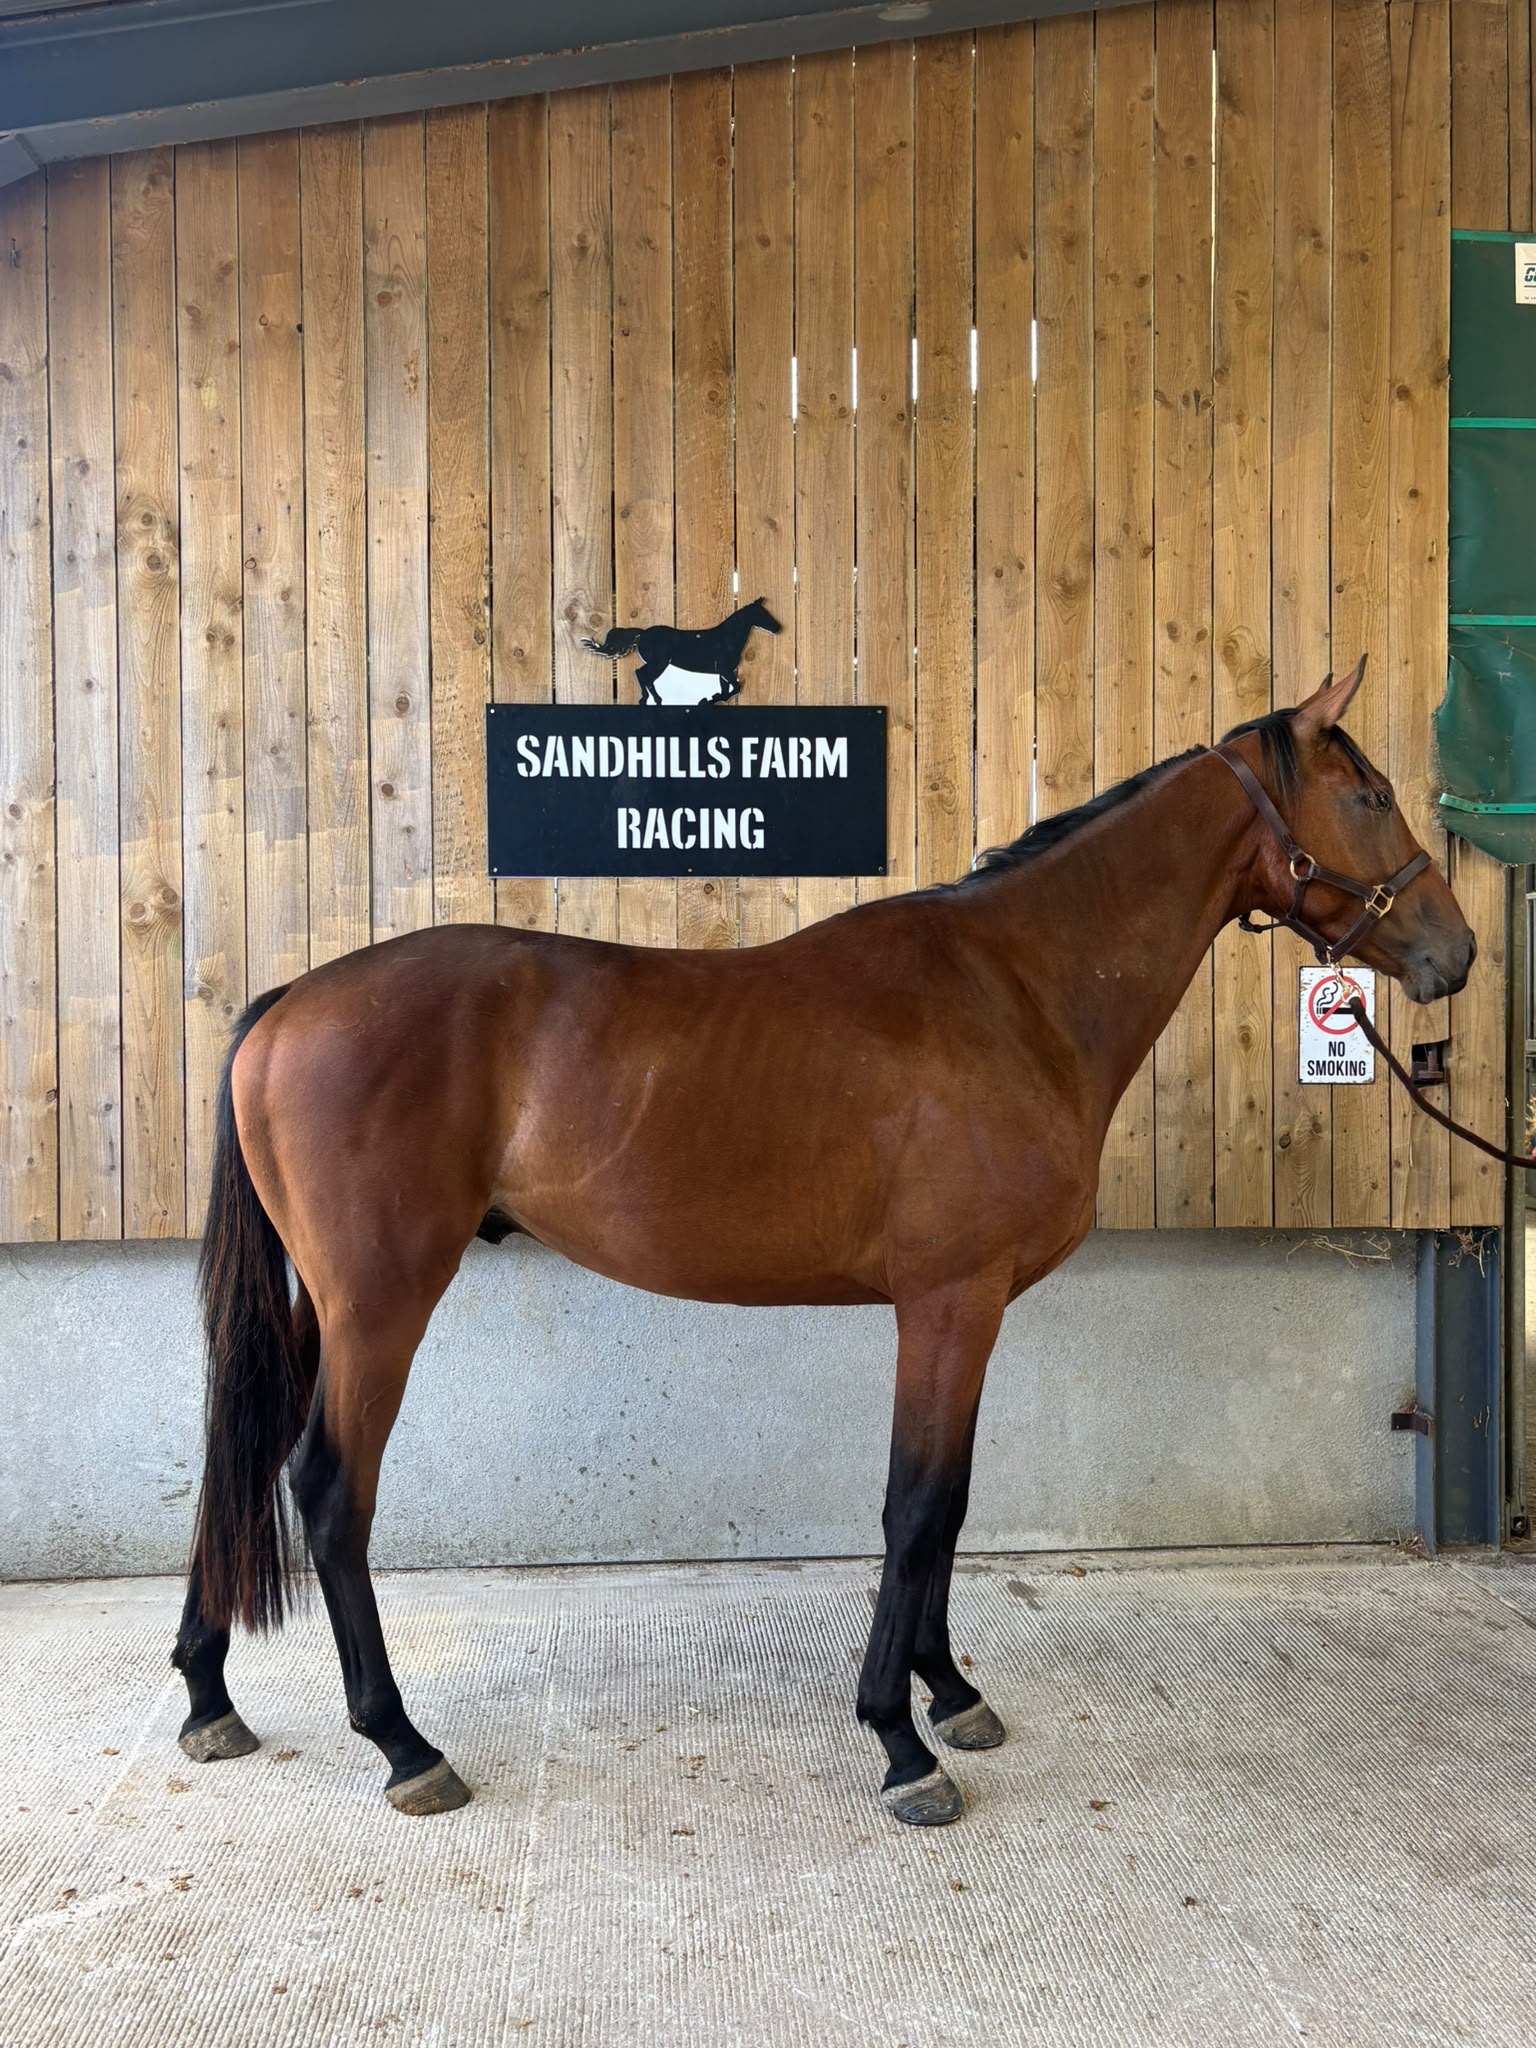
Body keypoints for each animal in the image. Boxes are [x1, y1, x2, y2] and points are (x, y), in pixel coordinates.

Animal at [172, 660, 1474, 1826]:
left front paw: (950, 1692)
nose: (1453, 953)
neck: (1015, 990)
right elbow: (915, 1504)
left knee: (244, 1452)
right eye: (1370, 796)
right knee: (327, 1486)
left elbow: (951, 1502)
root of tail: (288, 1003)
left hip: (323, 1303)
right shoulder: (949, 1299)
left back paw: (208, 1693)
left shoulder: (972, 1308)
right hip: (380, 1304)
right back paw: (405, 1744)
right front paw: (902, 1743)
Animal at [582, 597, 782, 703]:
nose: (778, 628)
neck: (727, 639)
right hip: (659, 663)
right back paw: (650, 699)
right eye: (762, 613)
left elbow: (727, 688)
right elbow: (735, 688)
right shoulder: (725, 669)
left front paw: (715, 697)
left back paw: (655, 699)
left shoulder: (723, 672)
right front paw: (712, 699)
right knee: (641, 674)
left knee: (645, 677)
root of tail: (642, 634)